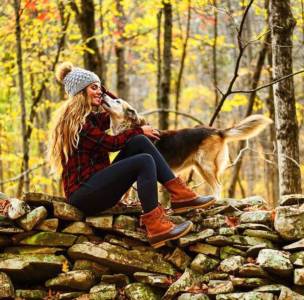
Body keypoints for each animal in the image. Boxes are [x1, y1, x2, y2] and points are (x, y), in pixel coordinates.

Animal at [101, 96, 274, 199]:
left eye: (117, 101)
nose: (103, 94)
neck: (130, 129)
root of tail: (217, 130)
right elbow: (127, 192)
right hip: (200, 168)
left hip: (206, 165)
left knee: (218, 186)